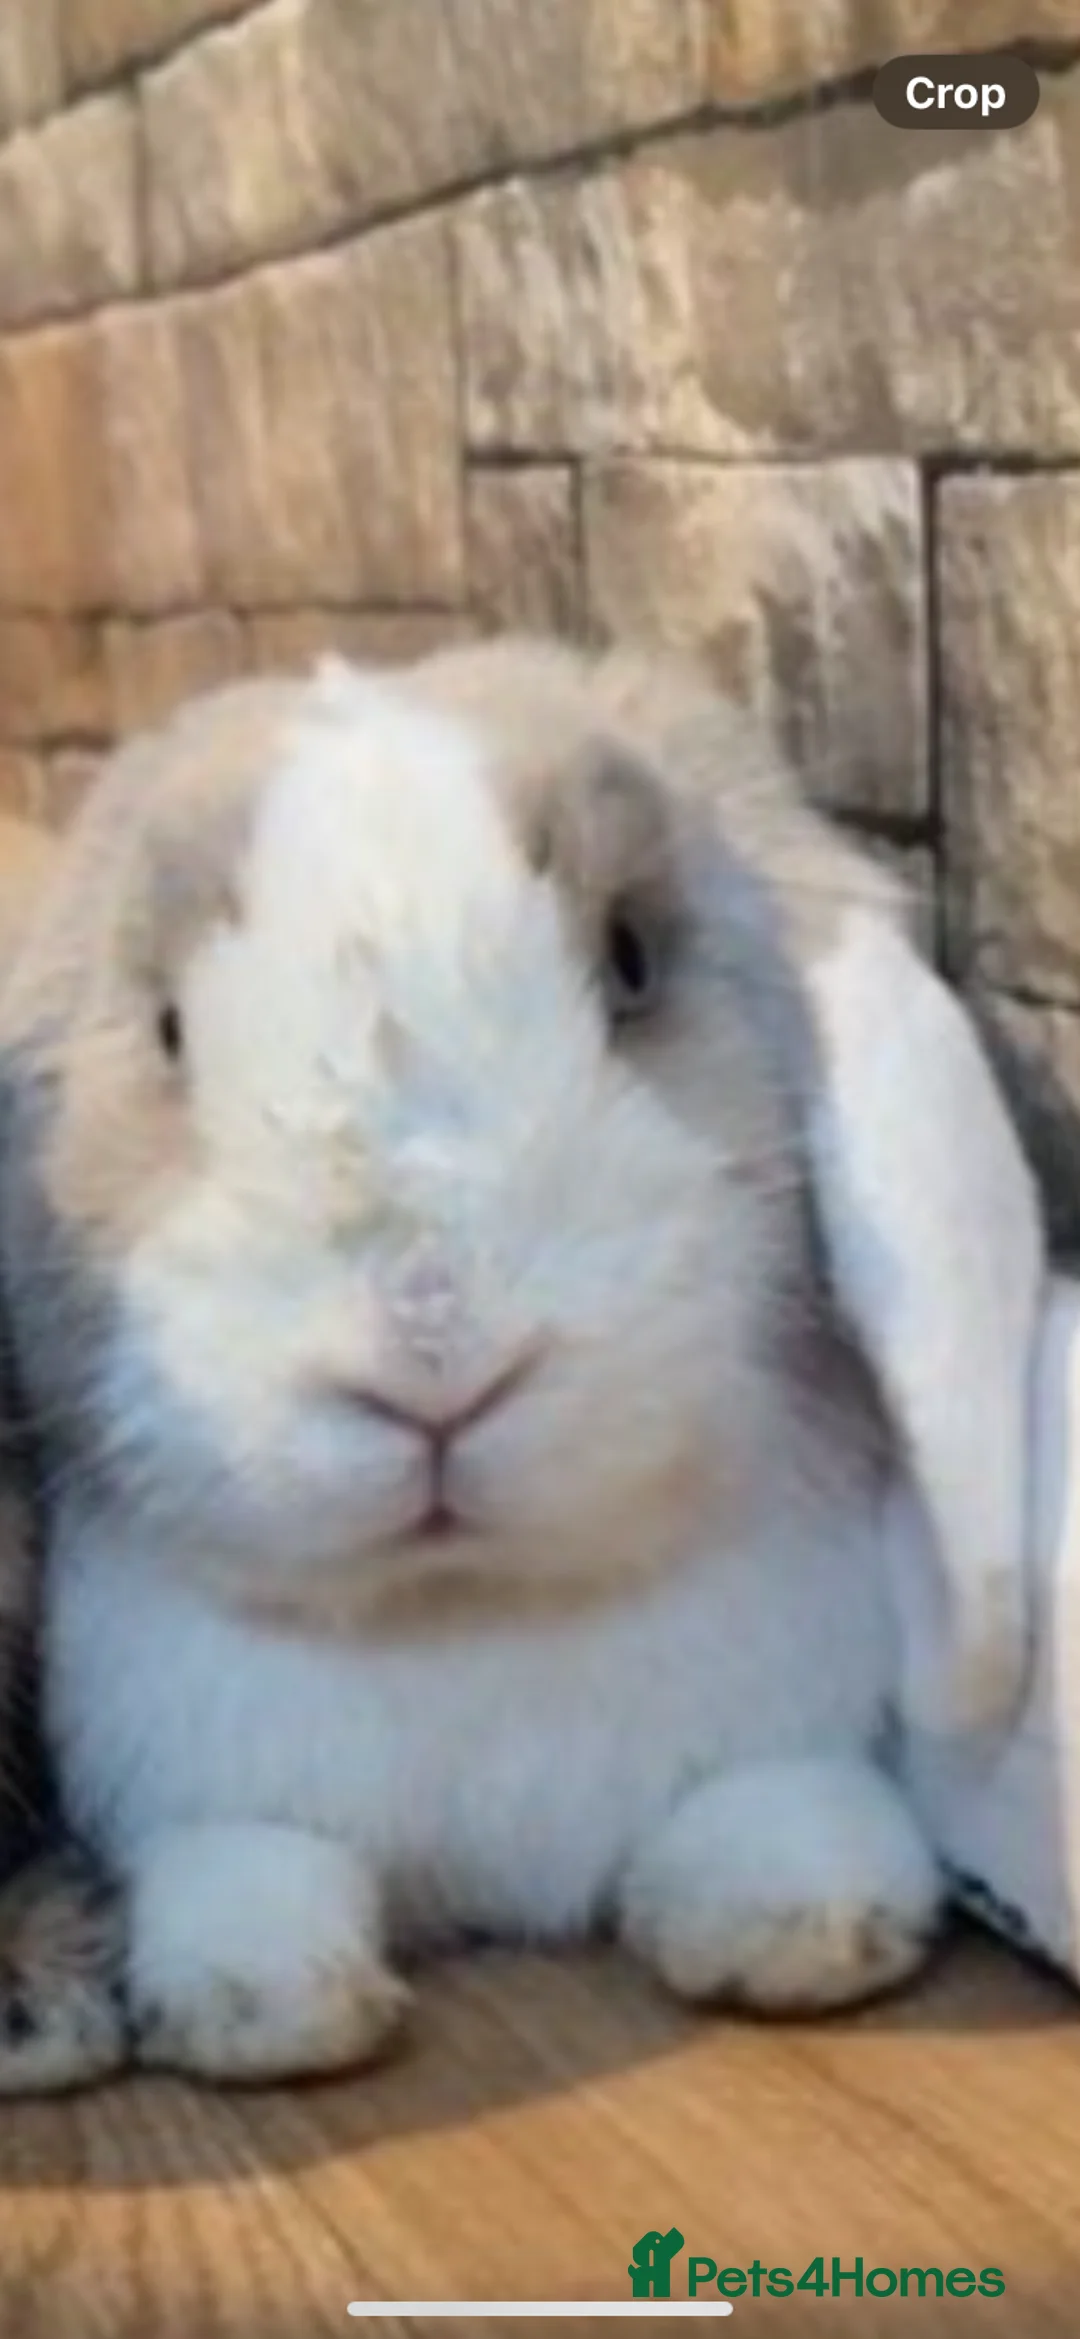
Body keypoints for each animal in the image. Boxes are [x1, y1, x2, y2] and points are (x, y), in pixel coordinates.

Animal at [0, 639, 1043, 2085]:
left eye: (632, 961)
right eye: (165, 1029)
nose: (435, 1343)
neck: (473, 1603)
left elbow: (773, 1800)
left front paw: (795, 1918)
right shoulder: (206, 1780)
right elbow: (252, 1867)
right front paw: (260, 1999)